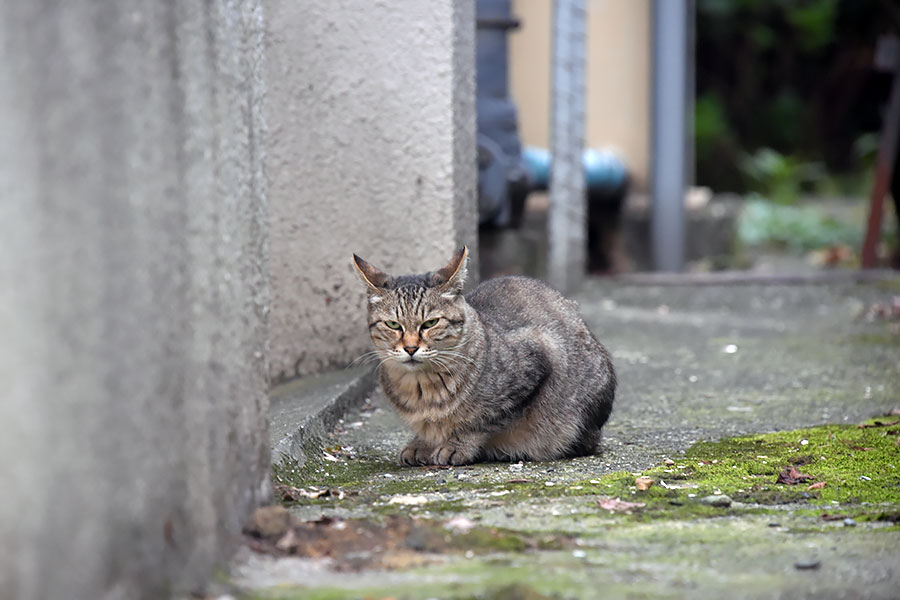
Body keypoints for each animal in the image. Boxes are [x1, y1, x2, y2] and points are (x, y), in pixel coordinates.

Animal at [356, 246, 616, 466]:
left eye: (430, 323)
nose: (410, 348)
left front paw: (457, 444)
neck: (421, 387)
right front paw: (421, 443)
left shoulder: (540, 356)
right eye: (393, 324)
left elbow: (482, 420)